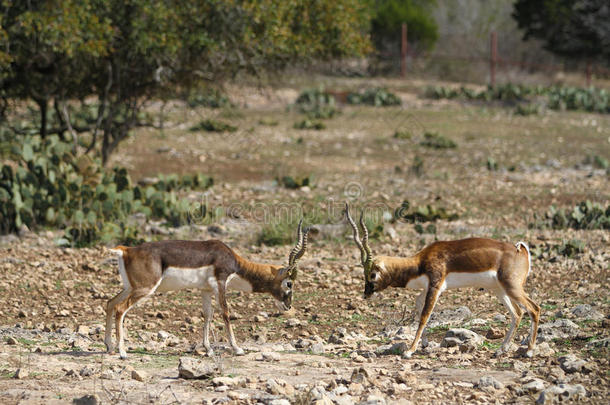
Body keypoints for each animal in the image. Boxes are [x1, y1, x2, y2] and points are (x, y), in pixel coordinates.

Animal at [104, 221, 308, 356]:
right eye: (289, 283)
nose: (288, 305)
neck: (232, 260)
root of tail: (126, 250)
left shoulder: (206, 290)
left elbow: (208, 315)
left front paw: (208, 349)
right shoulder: (220, 283)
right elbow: (225, 313)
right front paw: (237, 348)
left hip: (129, 288)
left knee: (109, 303)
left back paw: (109, 346)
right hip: (144, 289)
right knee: (120, 309)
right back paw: (122, 352)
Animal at [344, 202, 540, 356]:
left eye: (372, 274)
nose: (366, 294)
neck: (419, 262)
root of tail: (520, 250)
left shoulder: (436, 286)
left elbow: (424, 315)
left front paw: (410, 350)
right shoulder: (425, 289)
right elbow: (418, 307)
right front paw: (423, 344)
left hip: (512, 287)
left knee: (534, 308)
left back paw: (529, 350)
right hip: (499, 289)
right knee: (517, 313)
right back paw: (501, 349)